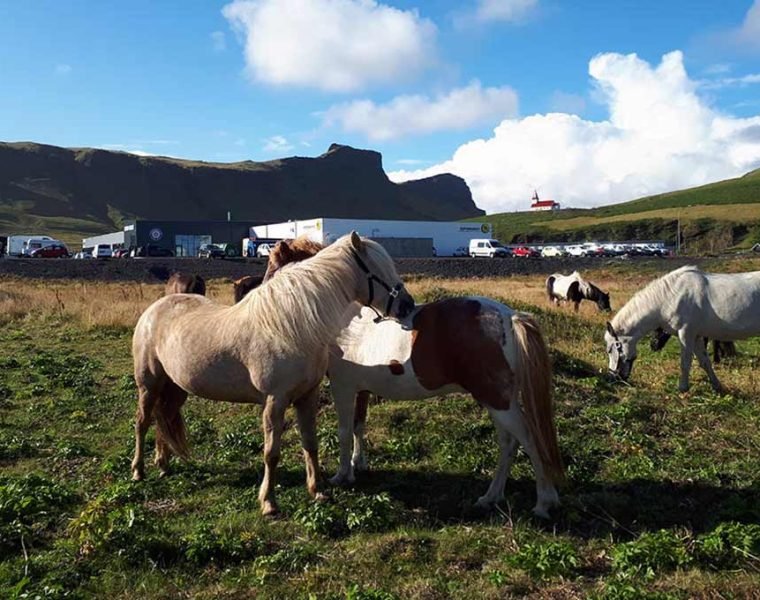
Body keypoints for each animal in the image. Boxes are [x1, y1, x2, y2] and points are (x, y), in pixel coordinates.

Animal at [130, 232, 415, 516]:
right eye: (379, 270)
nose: (407, 305)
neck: (291, 327)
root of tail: (155, 309)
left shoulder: (307, 397)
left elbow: (310, 442)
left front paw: (318, 491)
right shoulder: (274, 401)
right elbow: (271, 453)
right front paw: (268, 502)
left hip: (176, 388)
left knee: (164, 418)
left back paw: (163, 465)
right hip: (148, 385)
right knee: (143, 421)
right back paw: (138, 471)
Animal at [257, 237, 564, 518]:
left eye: (273, 264)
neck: (345, 322)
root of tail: (510, 317)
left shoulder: (343, 387)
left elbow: (344, 431)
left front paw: (343, 475)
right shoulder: (361, 389)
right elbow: (358, 426)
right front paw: (359, 464)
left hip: (498, 400)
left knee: (529, 439)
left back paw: (544, 502)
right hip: (497, 401)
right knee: (508, 443)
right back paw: (491, 496)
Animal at [605, 265, 760, 393]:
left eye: (611, 349)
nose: (614, 378)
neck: (670, 296)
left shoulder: (686, 333)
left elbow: (685, 363)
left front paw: (683, 388)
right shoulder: (696, 336)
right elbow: (705, 362)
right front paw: (717, 386)